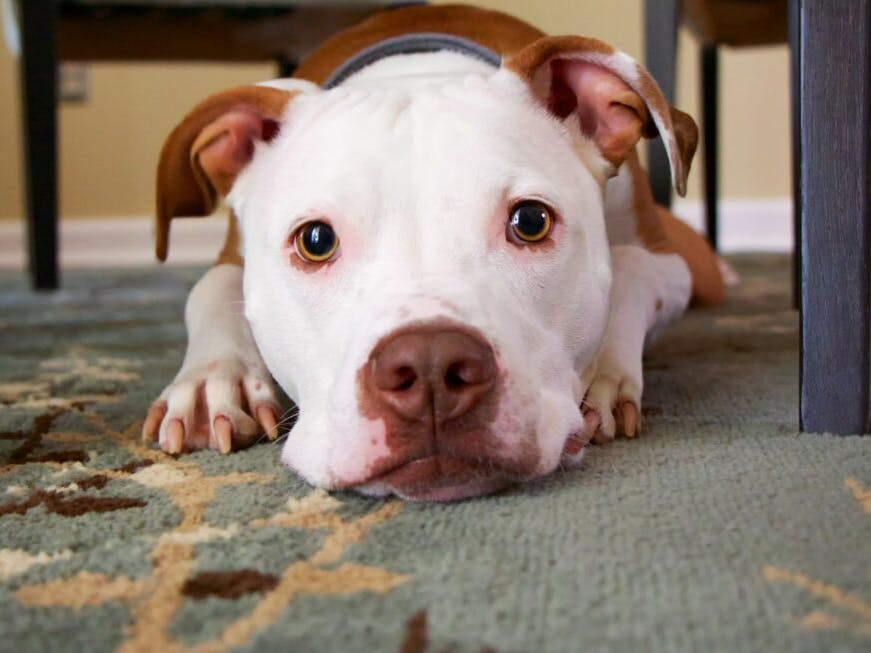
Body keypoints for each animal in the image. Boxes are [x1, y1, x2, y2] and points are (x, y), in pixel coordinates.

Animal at [143, 3, 724, 500]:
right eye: (316, 240)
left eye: (530, 221)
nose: (429, 367)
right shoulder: (231, 258)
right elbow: (210, 287)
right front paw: (214, 381)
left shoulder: (669, 262)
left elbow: (630, 267)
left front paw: (603, 373)